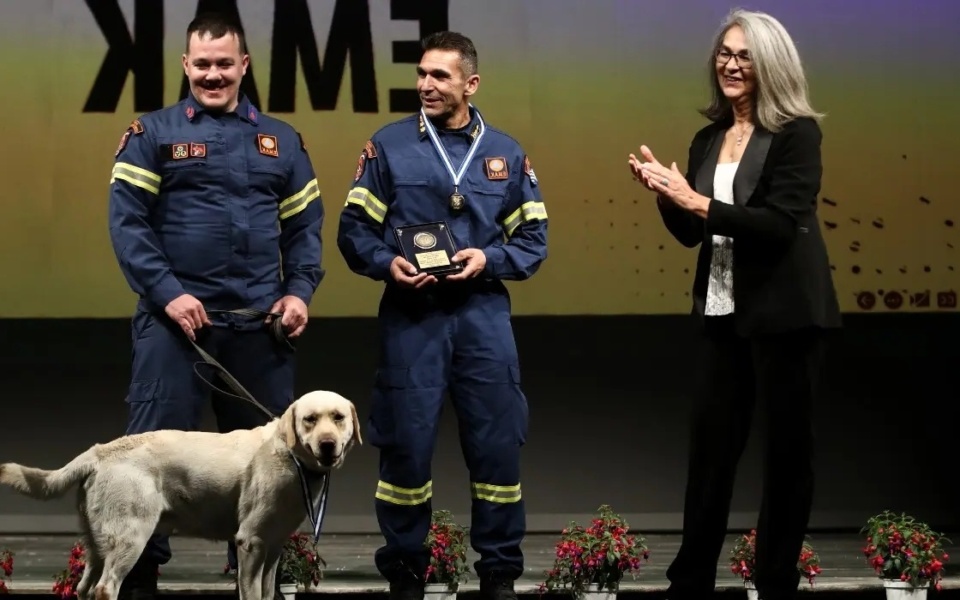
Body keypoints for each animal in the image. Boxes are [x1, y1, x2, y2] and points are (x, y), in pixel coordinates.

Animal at [0, 390, 360, 600]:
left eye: (338, 418)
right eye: (310, 420)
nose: (328, 444)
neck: (290, 456)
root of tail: (100, 451)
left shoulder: (272, 547)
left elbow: (268, 593)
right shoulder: (250, 543)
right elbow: (251, 593)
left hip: (96, 543)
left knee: (84, 588)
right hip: (131, 537)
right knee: (106, 587)